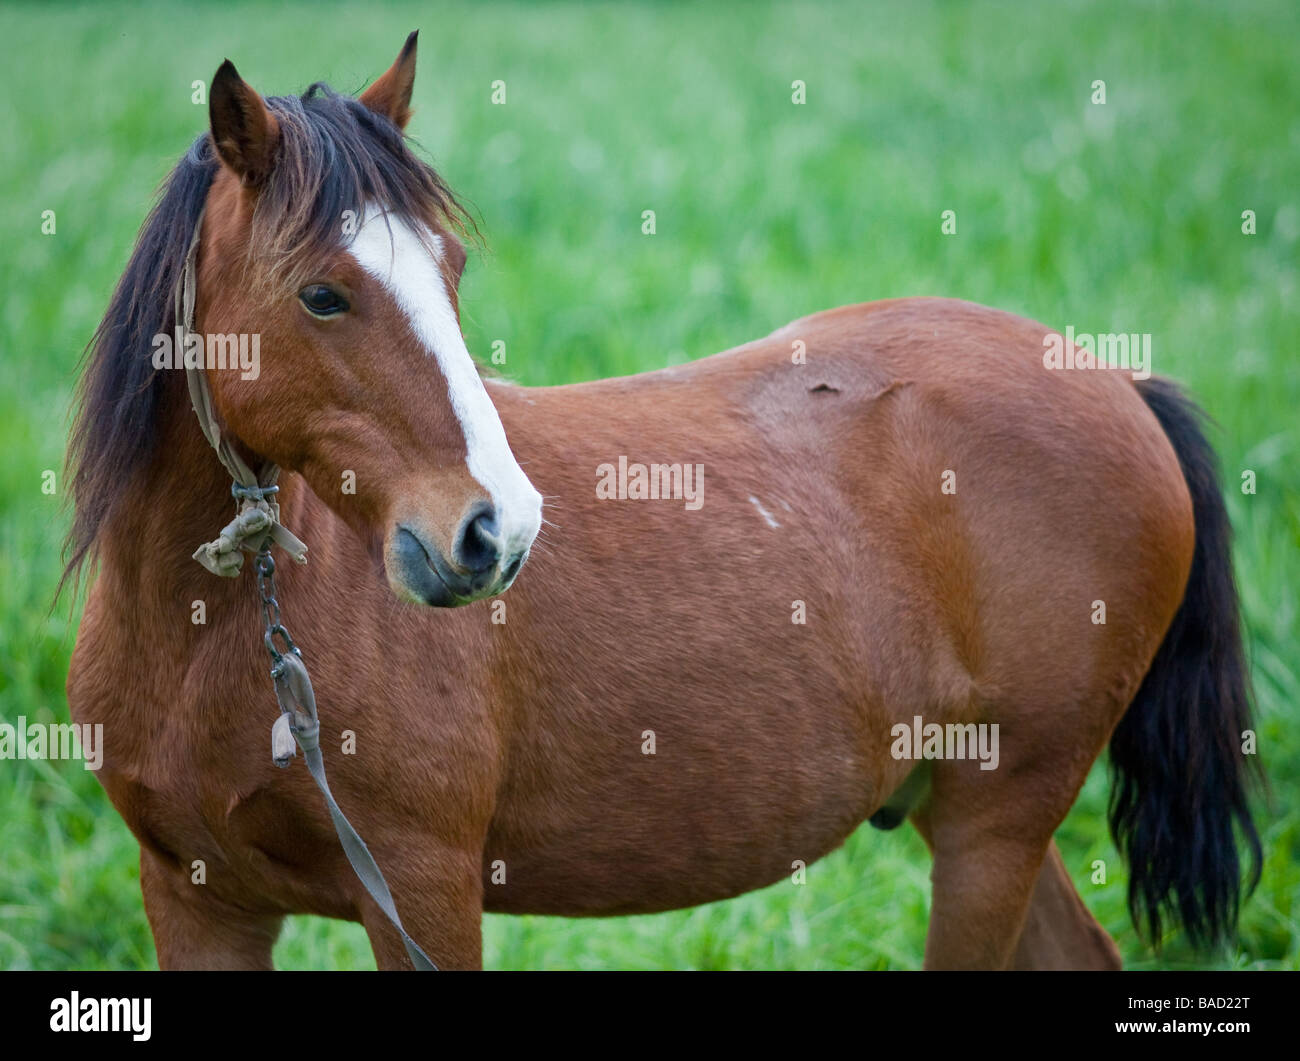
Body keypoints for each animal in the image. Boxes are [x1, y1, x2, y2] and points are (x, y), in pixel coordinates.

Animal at [61, 33, 1258, 967]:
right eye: (321, 294)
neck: (221, 642)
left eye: (450, 270)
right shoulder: (199, 904)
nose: (494, 533)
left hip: (992, 826)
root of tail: (1121, 383)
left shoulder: (422, 897)